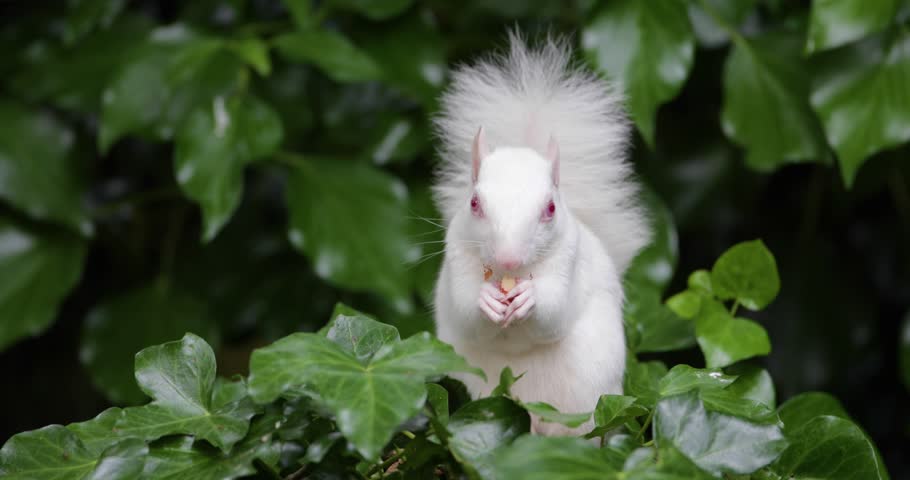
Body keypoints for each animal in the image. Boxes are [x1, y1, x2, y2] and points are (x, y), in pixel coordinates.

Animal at [431, 33, 650, 435]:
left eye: (550, 208)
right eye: (474, 203)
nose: (508, 258)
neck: (512, 275)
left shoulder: (569, 264)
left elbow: (555, 314)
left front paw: (530, 298)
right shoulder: (457, 260)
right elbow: (466, 312)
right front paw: (485, 299)